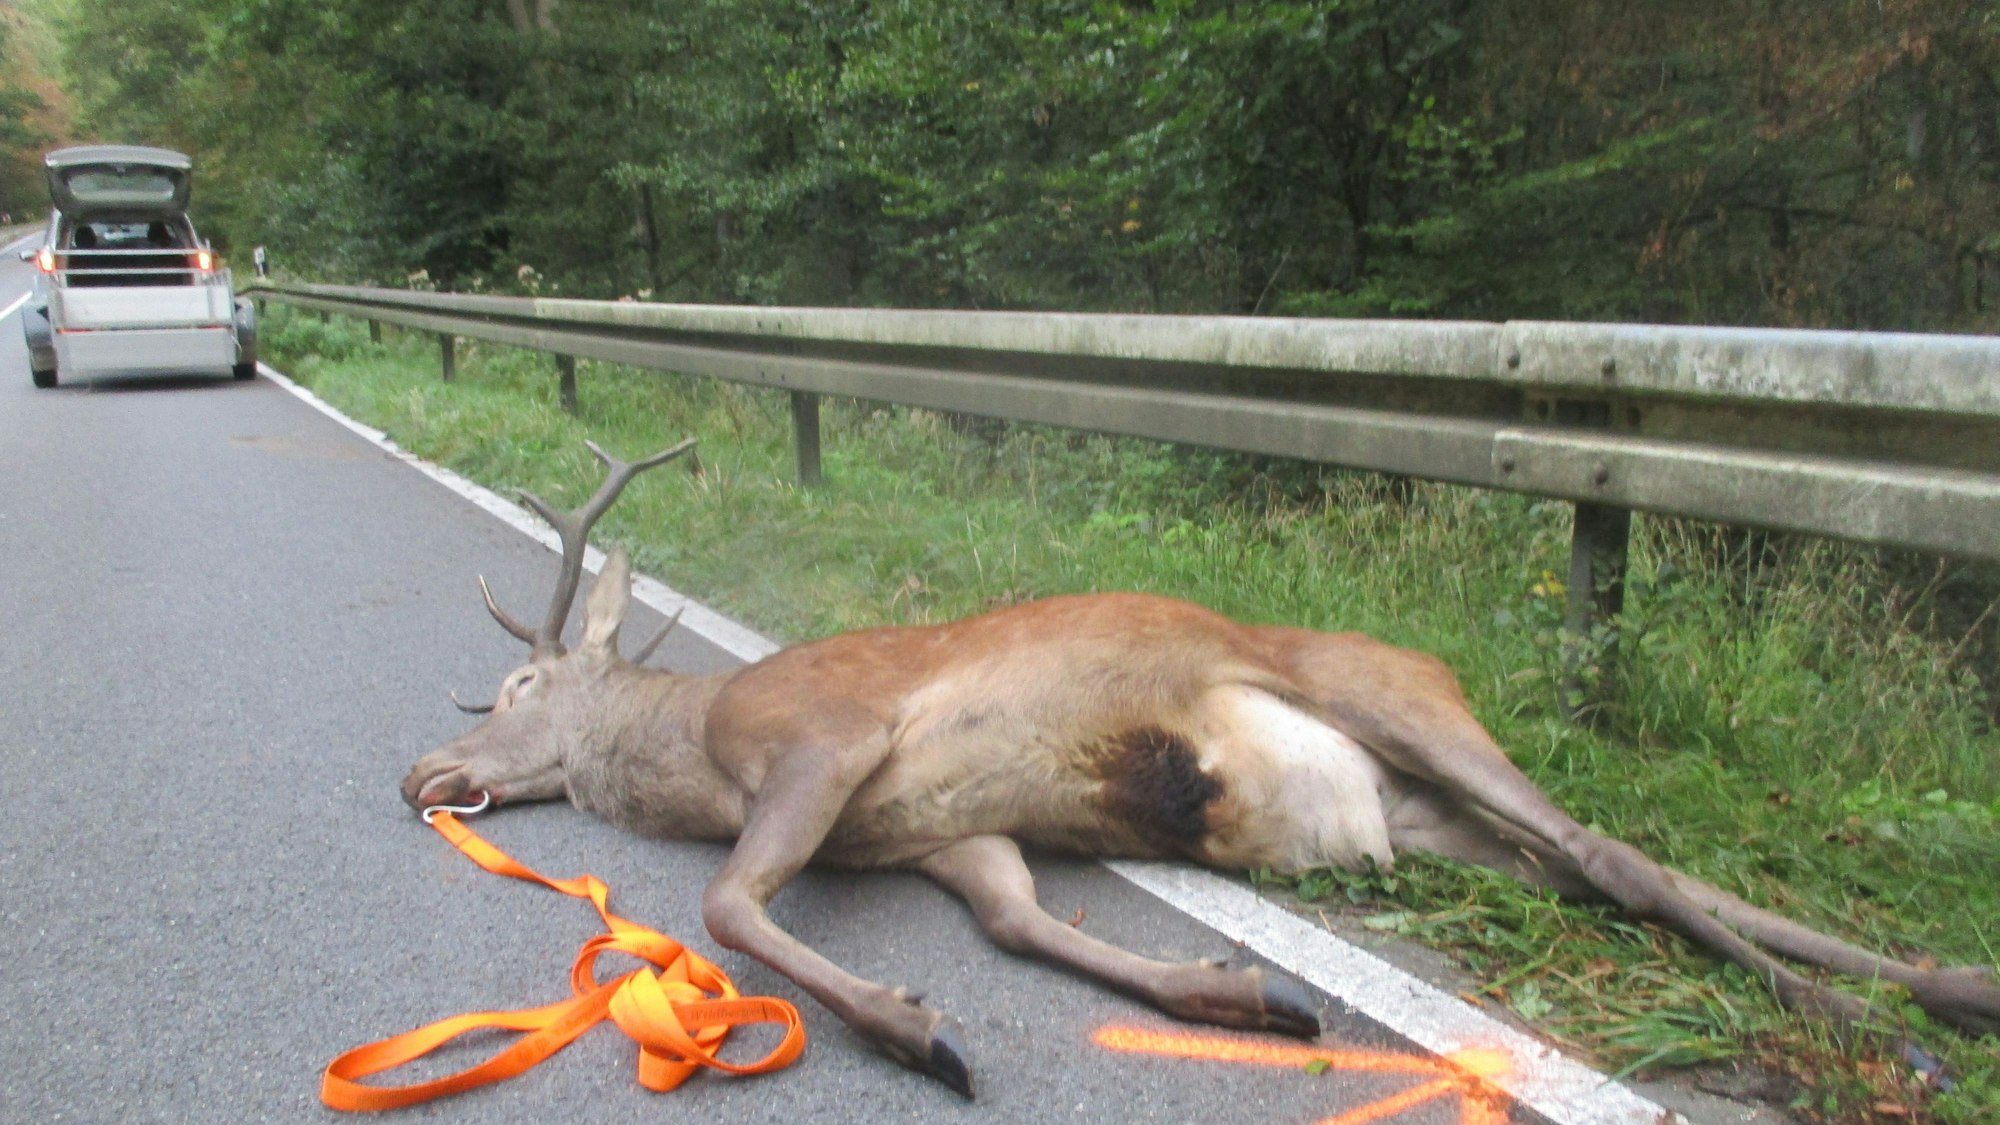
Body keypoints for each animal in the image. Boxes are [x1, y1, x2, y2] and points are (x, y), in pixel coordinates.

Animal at [401, 440, 2000, 1098]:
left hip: (1388, 691)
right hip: (1428, 818)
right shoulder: (932, 831)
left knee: (1608, 851)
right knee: (1610, 860)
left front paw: (916, 1029)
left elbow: (729, 904)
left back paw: (1875, 1033)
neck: (701, 758)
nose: (425, 768)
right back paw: (1947, 989)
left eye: (522, 682)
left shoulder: (828, 736)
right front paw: (1245, 998)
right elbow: (1018, 922)